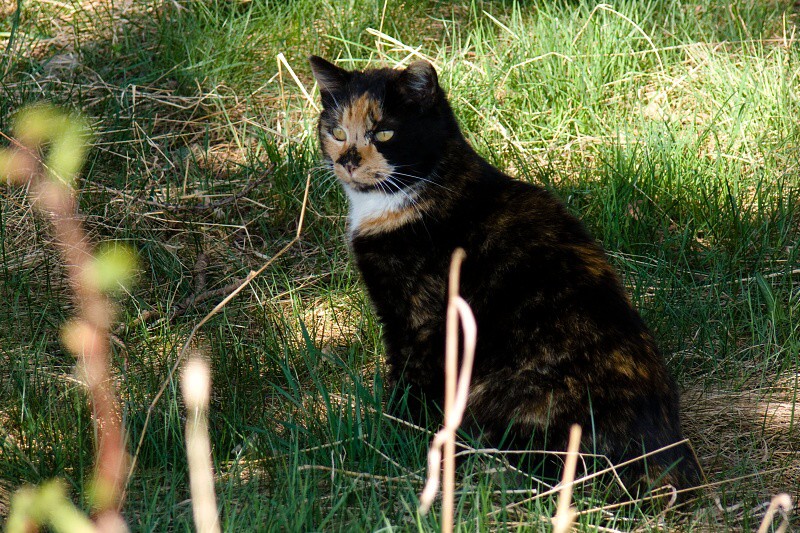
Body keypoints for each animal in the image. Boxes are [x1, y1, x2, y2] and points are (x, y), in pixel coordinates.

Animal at [309, 55, 702, 494]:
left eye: (385, 132)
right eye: (337, 132)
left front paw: (392, 432)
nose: (348, 161)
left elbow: (410, 383)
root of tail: (665, 455)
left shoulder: (419, 320)